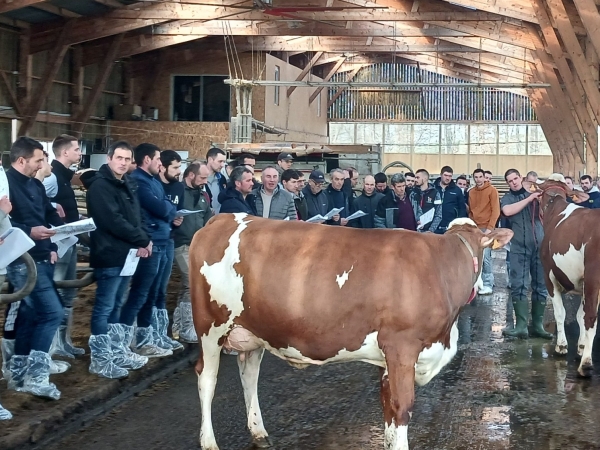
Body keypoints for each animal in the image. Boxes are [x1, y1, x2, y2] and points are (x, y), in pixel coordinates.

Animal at [190, 214, 512, 450]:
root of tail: (221, 218)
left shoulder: (389, 358)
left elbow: (388, 410)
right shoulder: (401, 346)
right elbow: (401, 406)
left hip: (253, 328)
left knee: (249, 373)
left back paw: (258, 431)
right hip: (210, 327)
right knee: (207, 378)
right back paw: (209, 442)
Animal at [528, 175, 596, 376]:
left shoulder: (549, 277)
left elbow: (561, 312)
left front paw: (562, 346)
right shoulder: (582, 284)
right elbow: (579, 315)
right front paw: (580, 346)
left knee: (591, 317)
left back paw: (586, 364)